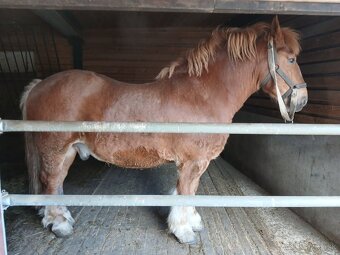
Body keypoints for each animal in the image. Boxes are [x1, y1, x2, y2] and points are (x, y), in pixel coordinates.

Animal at [20, 16, 308, 245]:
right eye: (291, 59)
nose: (302, 99)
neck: (202, 95)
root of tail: (38, 86)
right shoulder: (192, 162)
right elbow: (185, 192)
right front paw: (184, 232)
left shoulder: (197, 163)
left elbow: (189, 192)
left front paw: (191, 222)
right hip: (56, 150)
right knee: (51, 182)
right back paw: (59, 224)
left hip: (67, 151)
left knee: (55, 184)